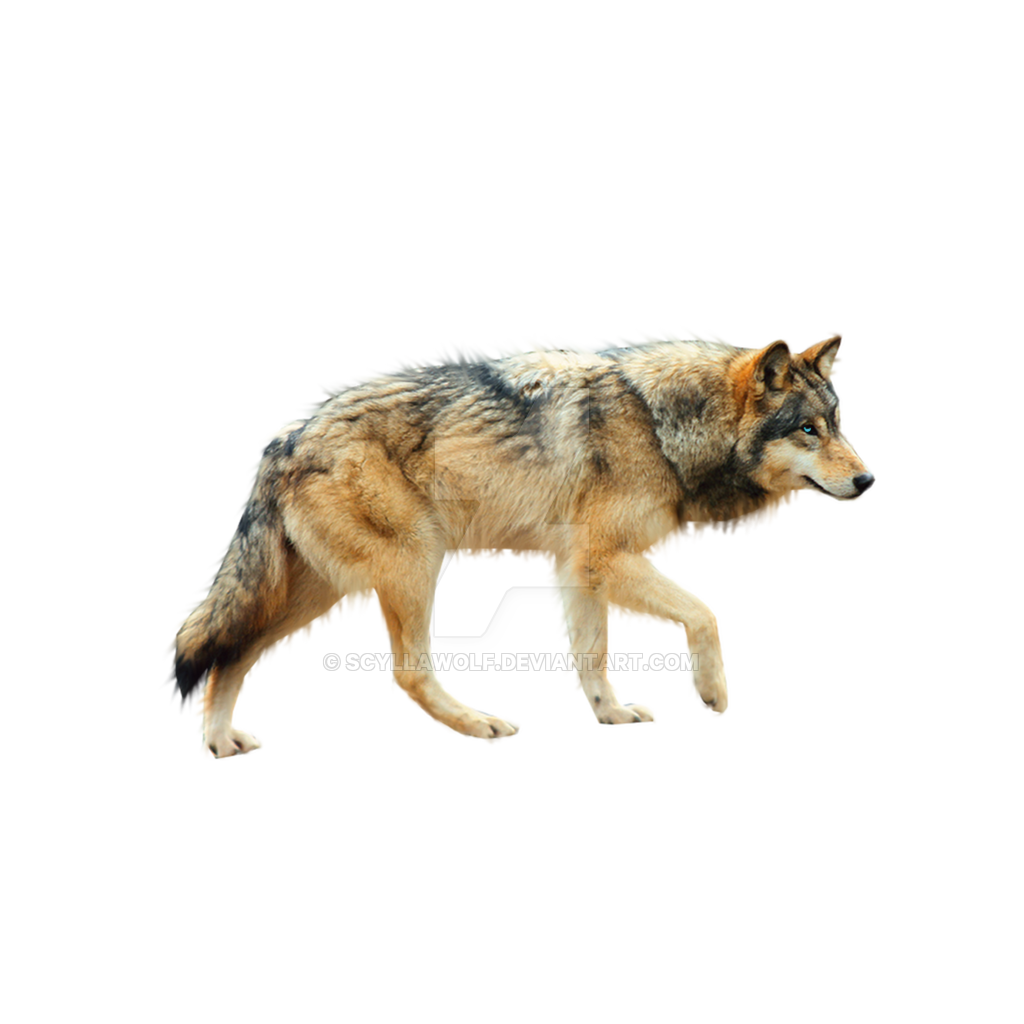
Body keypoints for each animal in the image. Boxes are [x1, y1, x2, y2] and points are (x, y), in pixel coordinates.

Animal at [160, 326, 875, 759]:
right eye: (808, 430)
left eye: (840, 424)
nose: (870, 480)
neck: (665, 425)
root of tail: (282, 441)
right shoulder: (605, 557)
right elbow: (707, 613)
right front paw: (712, 696)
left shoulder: (580, 569)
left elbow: (592, 655)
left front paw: (612, 715)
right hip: (409, 567)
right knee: (407, 674)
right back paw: (482, 725)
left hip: (319, 594)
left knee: (229, 656)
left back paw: (220, 744)